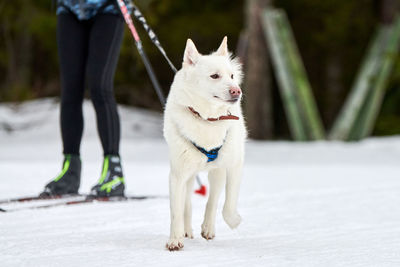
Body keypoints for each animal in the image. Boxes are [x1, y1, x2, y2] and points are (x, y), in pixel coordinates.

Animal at [163, 36, 247, 251]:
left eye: (231, 75)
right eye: (214, 76)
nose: (237, 91)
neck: (208, 119)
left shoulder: (234, 165)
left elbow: (227, 204)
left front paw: (234, 220)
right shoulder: (177, 174)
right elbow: (176, 211)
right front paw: (174, 240)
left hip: (216, 171)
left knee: (213, 199)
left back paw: (208, 228)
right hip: (189, 173)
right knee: (187, 203)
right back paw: (186, 231)